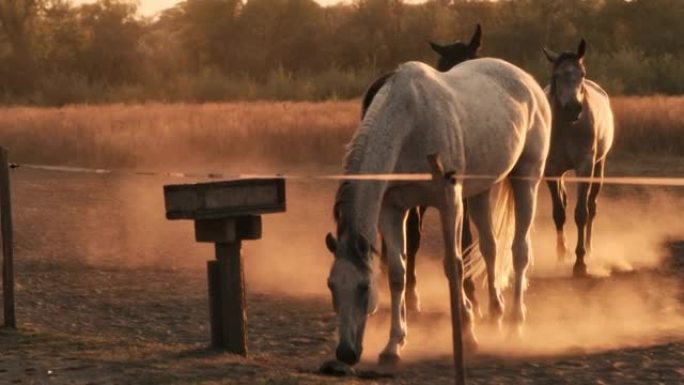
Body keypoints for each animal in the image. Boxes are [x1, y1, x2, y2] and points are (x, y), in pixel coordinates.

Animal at [324, 57, 552, 364]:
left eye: (364, 287)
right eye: (332, 285)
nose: (346, 353)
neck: (410, 122)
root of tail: (526, 80)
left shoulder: (449, 203)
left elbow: (453, 265)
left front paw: (468, 333)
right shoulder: (392, 210)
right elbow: (397, 272)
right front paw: (393, 345)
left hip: (527, 180)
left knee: (519, 251)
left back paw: (515, 325)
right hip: (480, 192)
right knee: (490, 248)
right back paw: (495, 315)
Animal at [544, 39, 616, 276]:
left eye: (581, 74)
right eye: (557, 75)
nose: (573, 108)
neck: (567, 128)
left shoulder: (585, 167)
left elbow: (581, 213)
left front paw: (580, 263)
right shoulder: (551, 171)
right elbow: (559, 212)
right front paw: (561, 256)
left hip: (598, 167)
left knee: (592, 207)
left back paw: (590, 249)